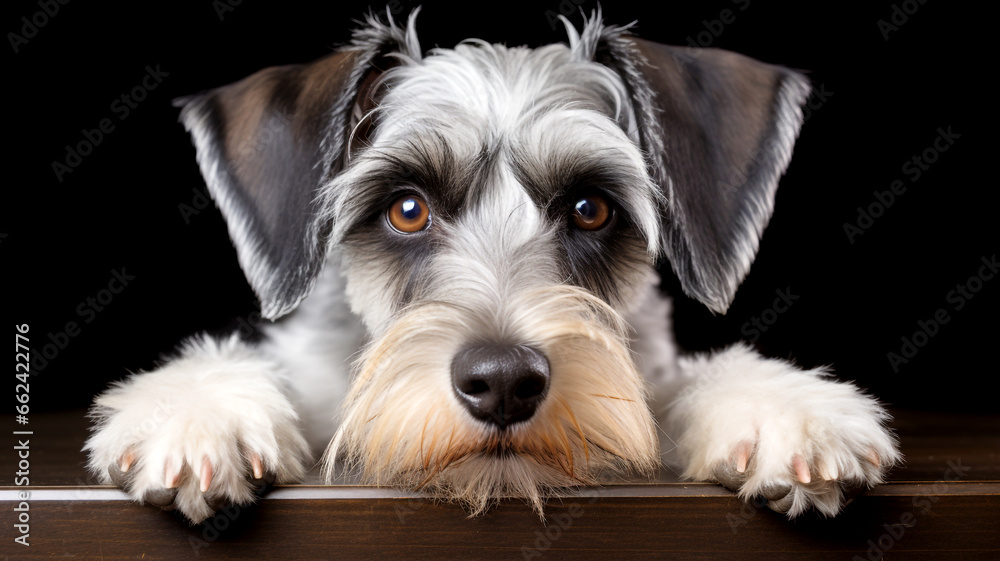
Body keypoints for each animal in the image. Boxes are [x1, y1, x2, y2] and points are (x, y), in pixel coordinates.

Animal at [84, 8, 900, 524]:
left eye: (591, 207)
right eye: (406, 208)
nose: (503, 382)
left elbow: (665, 394)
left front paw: (778, 406)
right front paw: (198, 411)